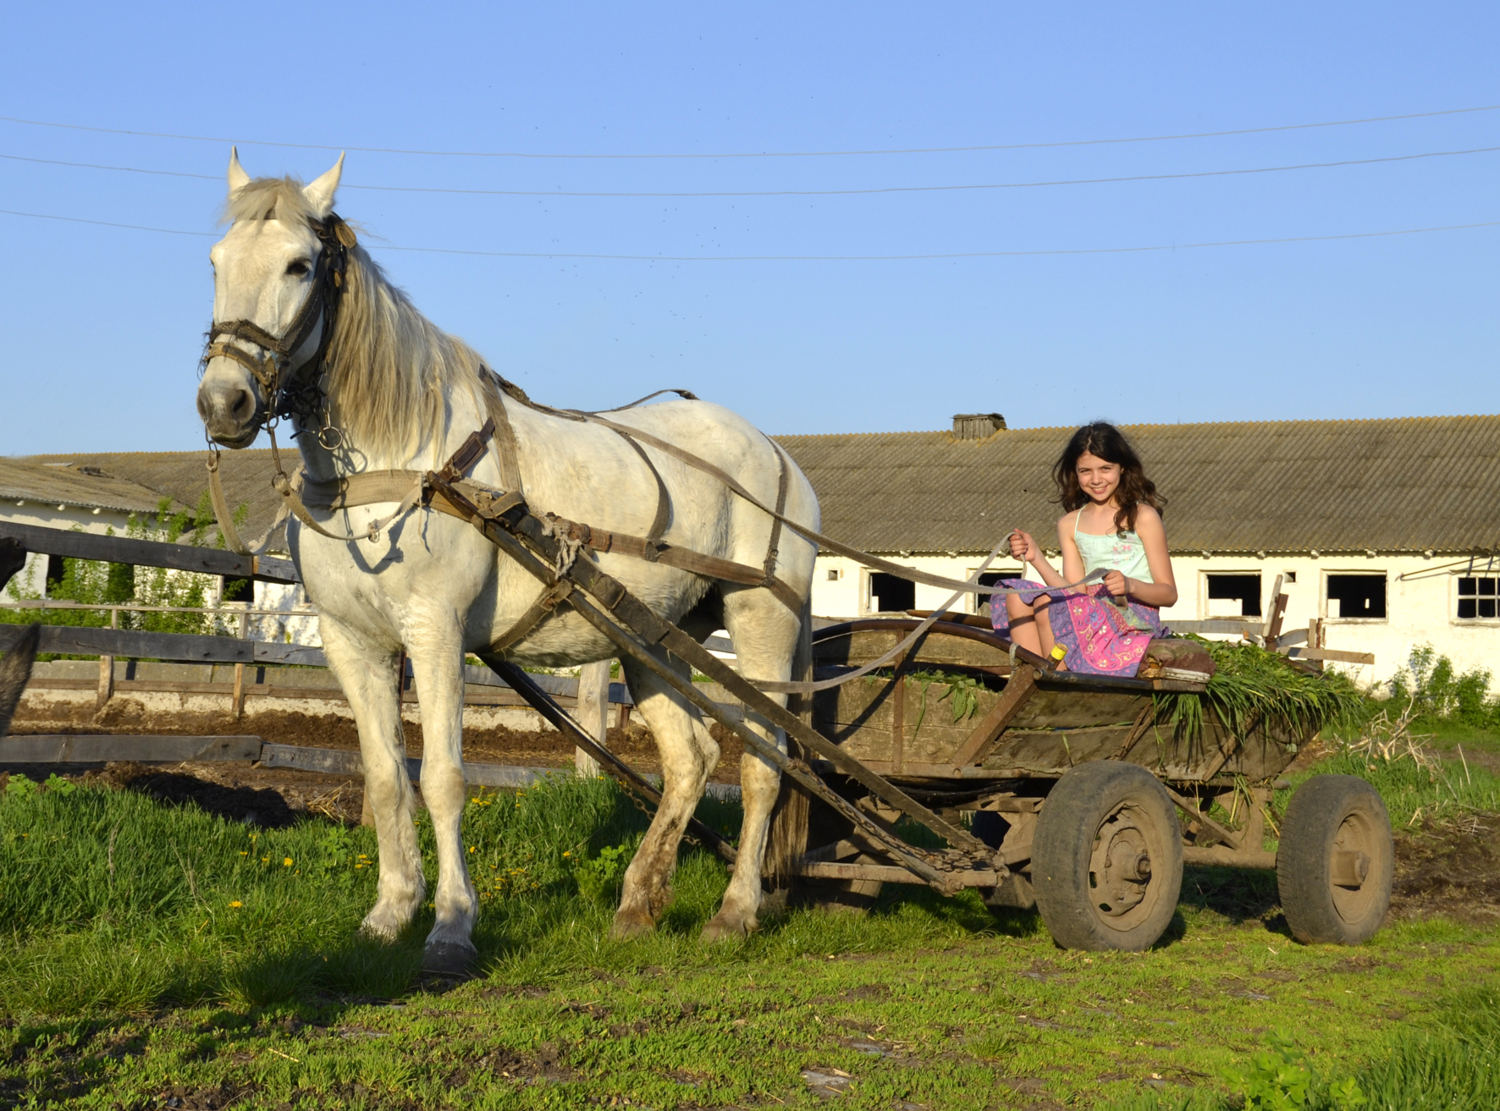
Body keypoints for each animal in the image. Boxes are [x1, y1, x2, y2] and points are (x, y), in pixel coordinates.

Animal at [196, 153, 822, 971]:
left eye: (299, 264)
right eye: (216, 262)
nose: (224, 402)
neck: (400, 460)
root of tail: (778, 455)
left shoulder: (436, 632)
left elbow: (443, 779)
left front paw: (451, 925)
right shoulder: (350, 641)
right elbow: (386, 779)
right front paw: (389, 913)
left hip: (760, 625)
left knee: (762, 761)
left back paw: (735, 909)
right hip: (651, 640)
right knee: (690, 758)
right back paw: (637, 901)